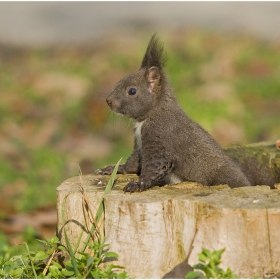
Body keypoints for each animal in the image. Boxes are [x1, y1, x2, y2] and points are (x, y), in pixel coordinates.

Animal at [95, 33, 278, 192]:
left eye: (132, 91)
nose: (108, 101)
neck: (149, 117)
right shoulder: (140, 146)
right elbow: (133, 163)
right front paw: (113, 169)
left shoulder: (161, 141)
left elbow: (153, 168)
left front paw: (138, 184)